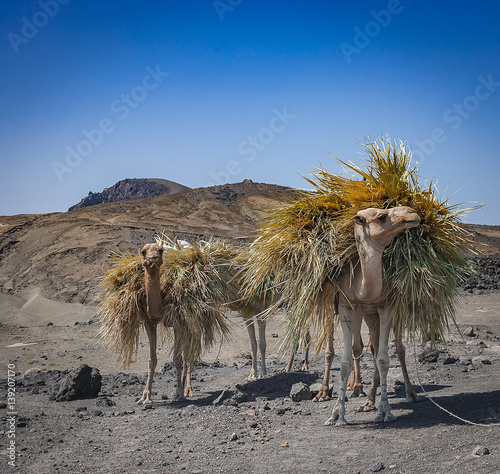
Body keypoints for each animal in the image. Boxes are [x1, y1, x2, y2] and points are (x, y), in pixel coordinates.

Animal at [324, 207, 422, 426]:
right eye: (381, 216)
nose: (412, 213)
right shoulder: (346, 306)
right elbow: (346, 362)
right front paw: (337, 414)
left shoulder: (387, 305)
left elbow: (384, 360)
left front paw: (385, 411)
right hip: (369, 316)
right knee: (374, 348)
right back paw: (369, 401)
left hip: (396, 312)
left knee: (399, 349)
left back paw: (410, 393)